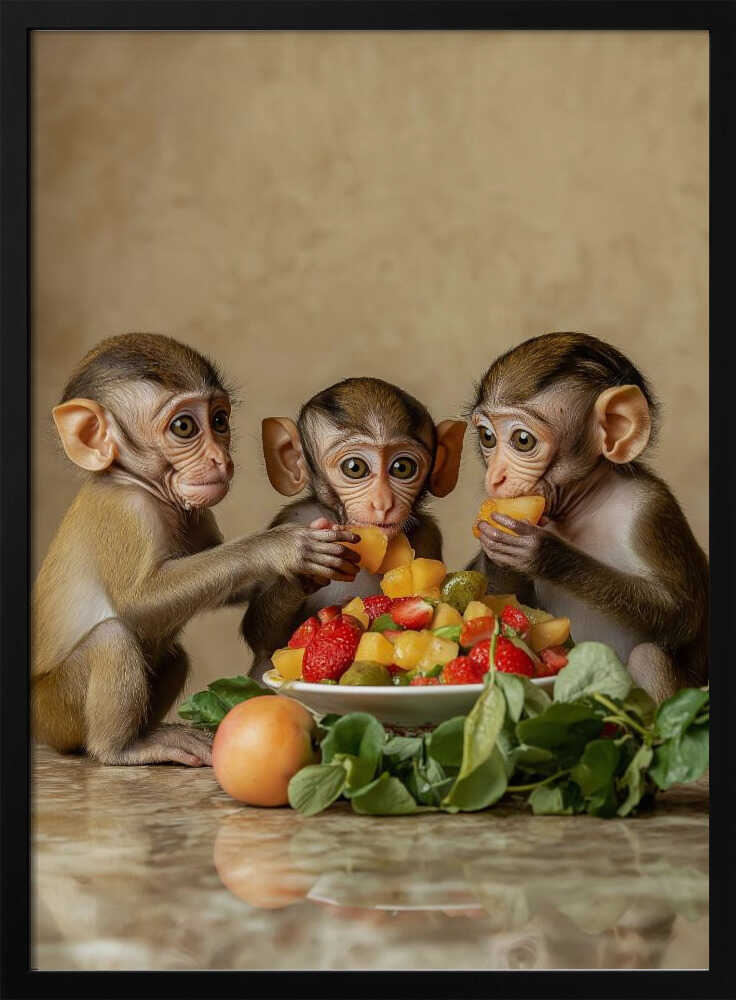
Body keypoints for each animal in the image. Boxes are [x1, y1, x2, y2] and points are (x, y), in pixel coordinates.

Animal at [32, 333, 361, 766]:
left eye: (219, 421)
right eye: (184, 427)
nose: (220, 459)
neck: (139, 483)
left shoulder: (198, 514)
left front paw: (299, 577)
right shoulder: (127, 512)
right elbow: (137, 601)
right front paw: (281, 547)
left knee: (173, 655)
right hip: (55, 711)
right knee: (112, 636)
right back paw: (124, 747)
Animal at [241, 377, 466, 679]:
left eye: (402, 468)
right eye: (355, 468)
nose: (383, 502)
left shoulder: (428, 534)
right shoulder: (292, 519)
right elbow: (264, 639)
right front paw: (306, 571)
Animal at [467, 332, 708, 702]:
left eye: (522, 440)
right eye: (487, 437)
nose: (495, 478)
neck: (585, 504)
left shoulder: (651, 510)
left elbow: (683, 615)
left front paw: (549, 555)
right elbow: (506, 603)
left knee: (648, 656)